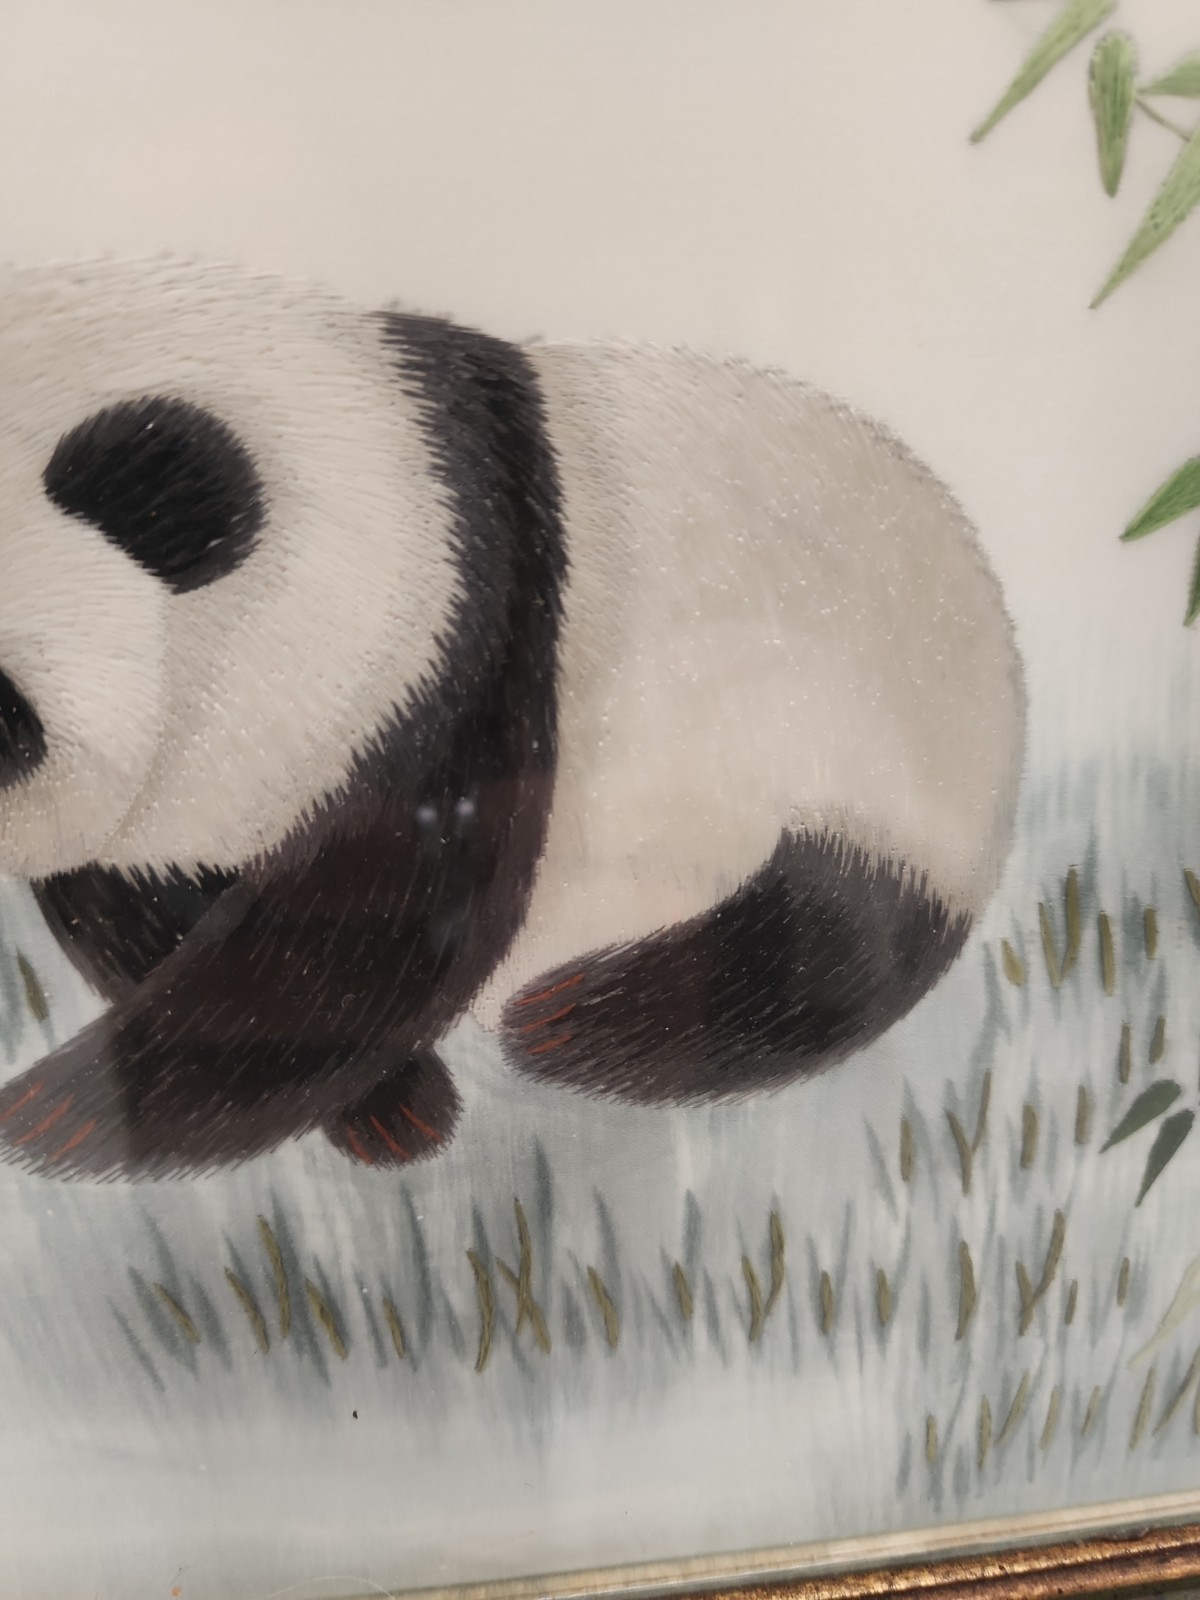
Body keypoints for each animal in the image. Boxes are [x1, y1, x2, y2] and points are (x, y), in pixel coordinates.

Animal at [0, 258, 1024, 1180]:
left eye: (7, 720)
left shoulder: (450, 637)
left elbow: (368, 931)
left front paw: (49, 1119)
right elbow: (141, 908)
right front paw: (393, 1105)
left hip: (873, 760)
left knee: (817, 942)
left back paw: (575, 1021)